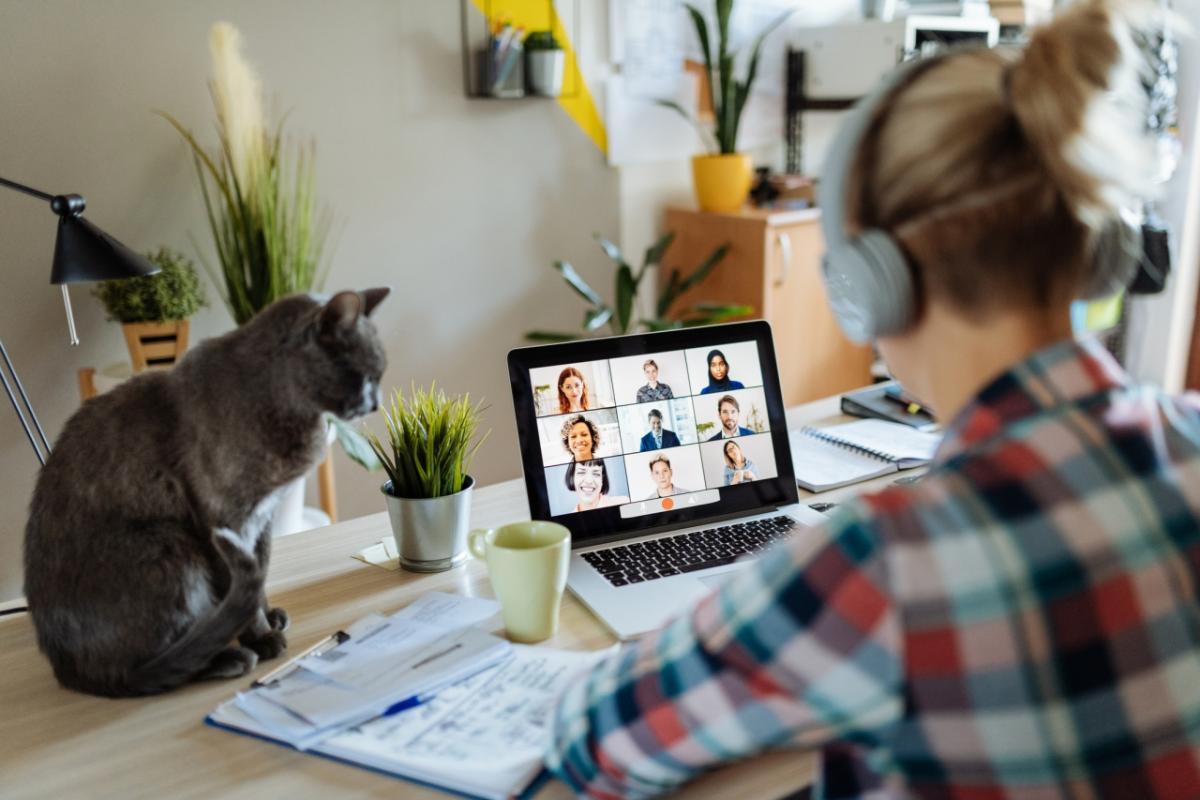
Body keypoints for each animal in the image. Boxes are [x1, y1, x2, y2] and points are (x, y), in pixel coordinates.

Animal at [24, 287, 388, 695]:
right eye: (366, 376)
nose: (377, 403)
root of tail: (66, 670)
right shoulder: (223, 519)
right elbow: (242, 582)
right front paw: (262, 637)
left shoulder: (261, 520)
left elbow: (259, 575)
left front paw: (268, 616)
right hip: (170, 544)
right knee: (147, 668)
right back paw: (228, 657)